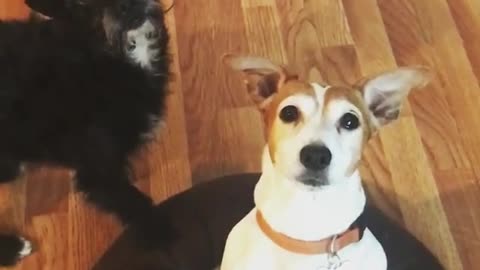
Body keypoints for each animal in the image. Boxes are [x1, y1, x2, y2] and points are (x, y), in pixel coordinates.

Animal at [0, 0, 172, 266]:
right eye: (80, 4)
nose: (125, 6)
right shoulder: (97, 170)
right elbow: (132, 200)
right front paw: (159, 231)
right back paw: (15, 248)